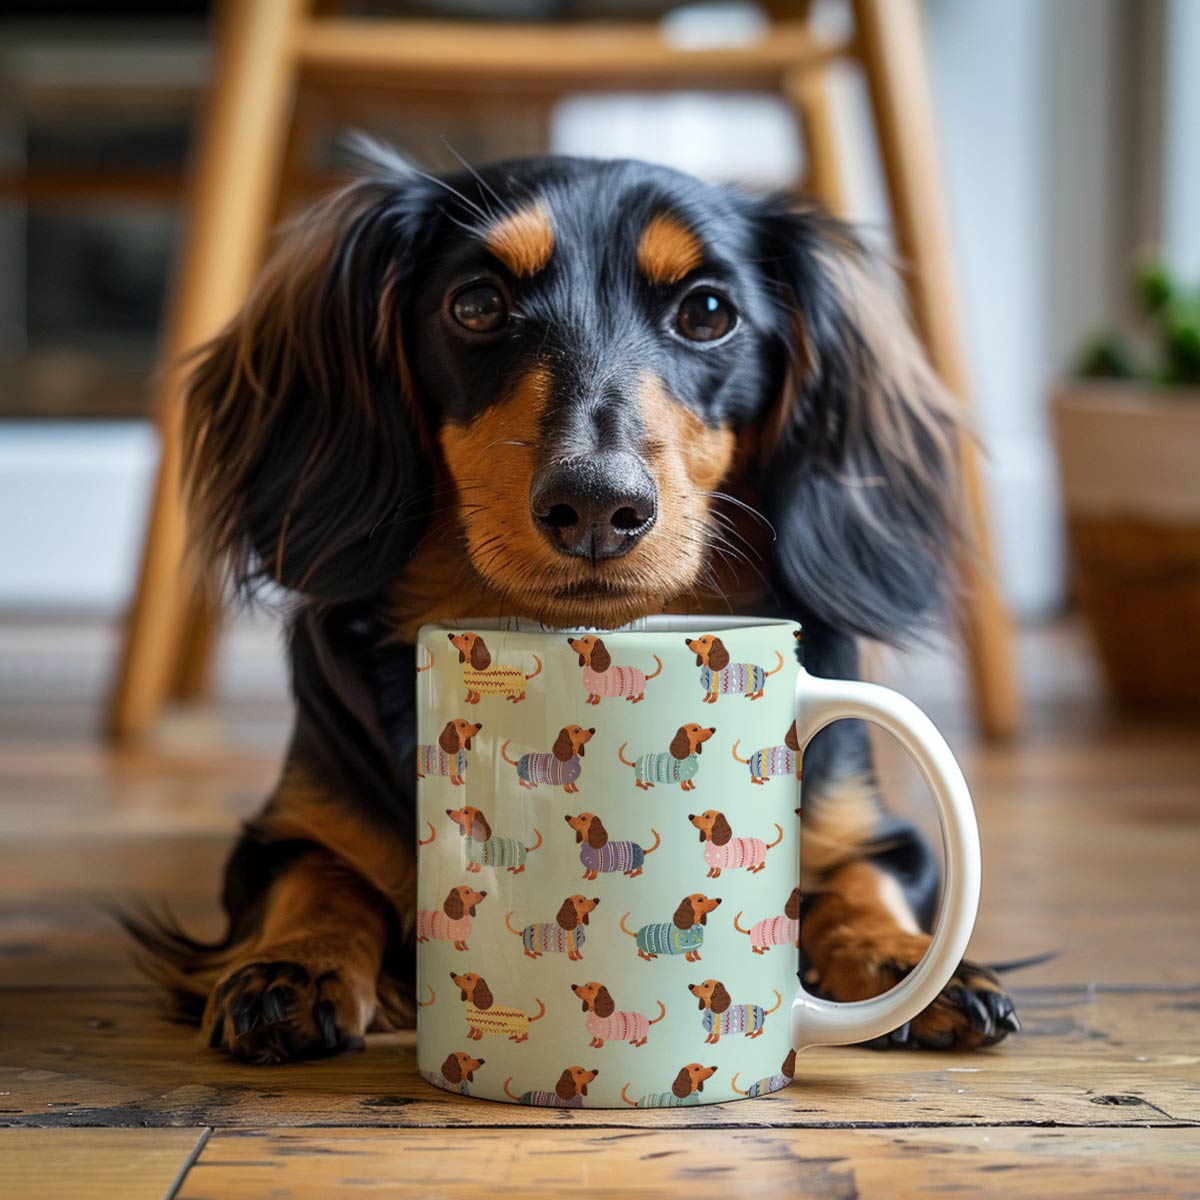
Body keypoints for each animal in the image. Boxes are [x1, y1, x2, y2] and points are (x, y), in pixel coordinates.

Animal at [126, 147, 1017, 1060]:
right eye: (477, 304)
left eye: (707, 311)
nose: (596, 504)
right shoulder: (290, 825)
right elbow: (319, 871)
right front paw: (293, 967)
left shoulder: (871, 826)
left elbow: (865, 873)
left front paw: (901, 957)